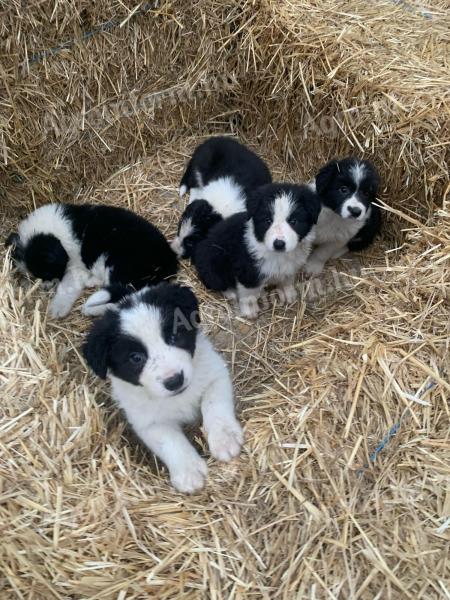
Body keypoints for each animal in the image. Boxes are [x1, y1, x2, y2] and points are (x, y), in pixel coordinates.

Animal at [6, 204, 178, 318]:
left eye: (47, 272)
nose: (45, 286)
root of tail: (170, 261)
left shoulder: (75, 268)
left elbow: (66, 287)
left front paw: (57, 309)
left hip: (120, 266)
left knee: (124, 296)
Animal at [81, 282, 243, 492]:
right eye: (135, 358)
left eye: (174, 336)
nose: (175, 381)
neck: (179, 397)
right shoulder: (148, 422)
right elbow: (170, 441)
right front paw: (189, 471)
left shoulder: (215, 374)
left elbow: (214, 406)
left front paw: (224, 439)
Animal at [193, 183, 320, 318]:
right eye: (267, 221)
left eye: (293, 221)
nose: (279, 244)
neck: (277, 255)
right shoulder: (248, 271)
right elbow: (248, 293)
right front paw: (250, 311)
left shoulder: (290, 266)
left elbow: (287, 280)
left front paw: (288, 293)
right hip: (213, 262)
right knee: (217, 282)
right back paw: (231, 293)